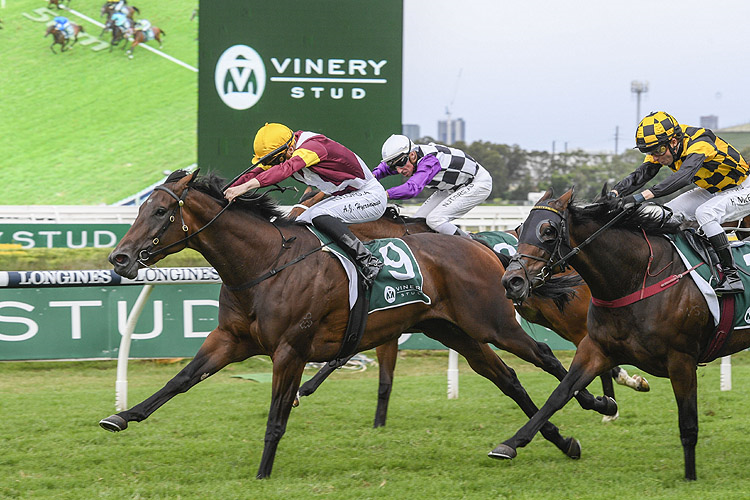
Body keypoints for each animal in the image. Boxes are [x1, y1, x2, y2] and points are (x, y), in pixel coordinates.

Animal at [101, 170, 616, 478]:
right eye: (141, 209)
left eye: (161, 212)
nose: (119, 258)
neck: (265, 264)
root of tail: (486, 248)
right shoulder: (230, 339)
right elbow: (182, 379)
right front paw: (122, 416)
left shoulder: (290, 349)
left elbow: (276, 416)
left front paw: (263, 472)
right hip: (452, 330)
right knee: (507, 378)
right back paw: (560, 440)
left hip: (491, 322)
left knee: (545, 356)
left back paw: (600, 402)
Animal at [294, 199, 652, 426]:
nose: (297, 222)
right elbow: (353, 362)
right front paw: (307, 387)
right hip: (547, 316)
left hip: (562, 315)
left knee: (586, 348)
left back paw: (614, 401)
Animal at [496, 188, 750, 480]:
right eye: (519, 228)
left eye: (548, 230)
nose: (512, 281)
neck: (639, 278)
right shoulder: (595, 349)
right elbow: (559, 395)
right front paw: (511, 444)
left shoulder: (682, 360)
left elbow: (688, 423)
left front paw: (690, 476)